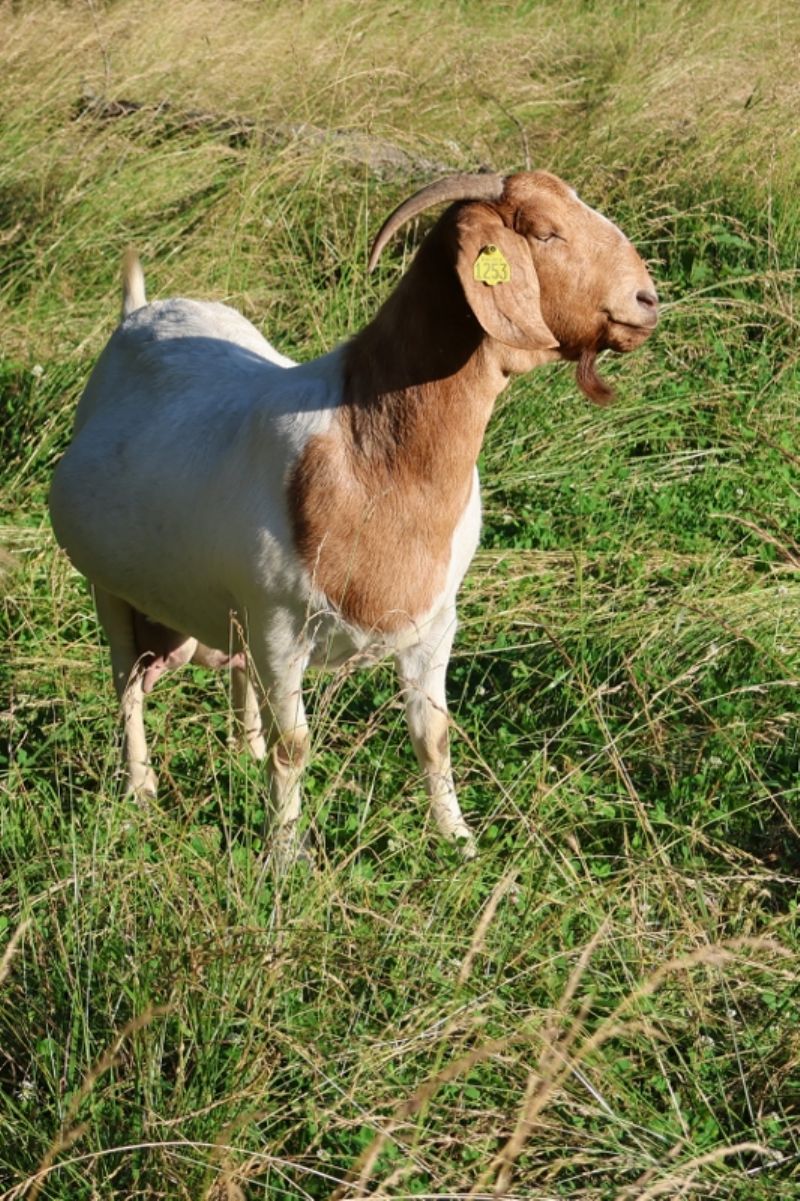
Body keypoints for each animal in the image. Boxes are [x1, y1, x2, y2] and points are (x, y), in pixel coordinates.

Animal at [49, 170, 658, 861]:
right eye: (545, 231)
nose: (647, 299)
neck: (371, 456)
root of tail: (139, 311)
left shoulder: (435, 624)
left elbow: (434, 736)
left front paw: (459, 840)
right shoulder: (279, 628)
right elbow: (294, 748)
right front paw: (283, 857)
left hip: (228, 614)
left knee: (229, 678)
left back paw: (239, 750)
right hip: (111, 591)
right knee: (126, 685)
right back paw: (141, 790)